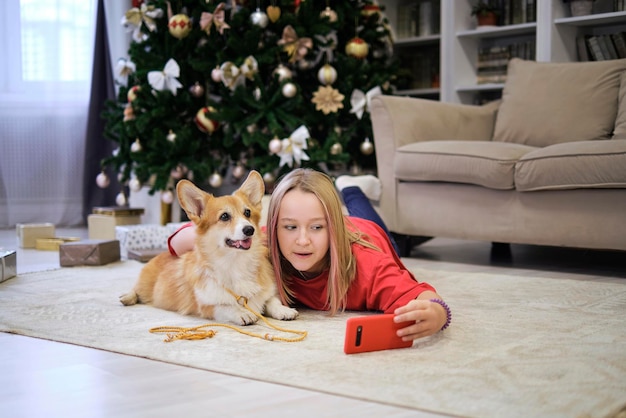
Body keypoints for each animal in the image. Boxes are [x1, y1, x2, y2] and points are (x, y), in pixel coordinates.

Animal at [122, 171, 300, 324]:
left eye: (247, 213)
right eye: (224, 216)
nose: (250, 230)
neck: (235, 263)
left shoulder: (267, 293)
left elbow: (271, 301)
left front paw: (284, 310)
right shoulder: (207, 306)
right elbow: (226, 306)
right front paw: (242, 312)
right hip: (145, 285)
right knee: (135, 289)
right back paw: (127, 297)